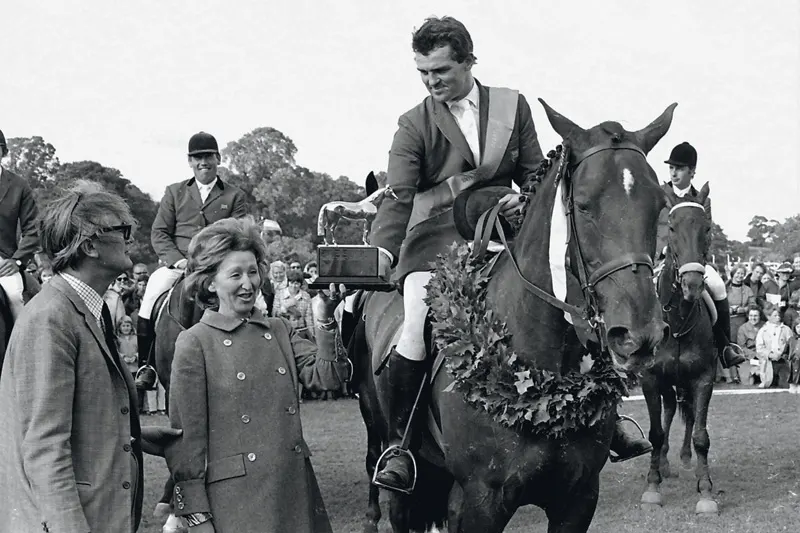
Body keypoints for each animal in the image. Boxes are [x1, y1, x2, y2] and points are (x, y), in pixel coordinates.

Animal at [636, 182, 720, 512]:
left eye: (706, 228)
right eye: (671, 228)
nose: (692, 285)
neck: (679, 320)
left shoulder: (703, 378)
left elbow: (701, 435)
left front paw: (706, 490)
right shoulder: (650, 379)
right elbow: (655, 433)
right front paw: (652, 487)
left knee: (685, 413)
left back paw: (684, 460)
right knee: (670, 409)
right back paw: (664, 464)